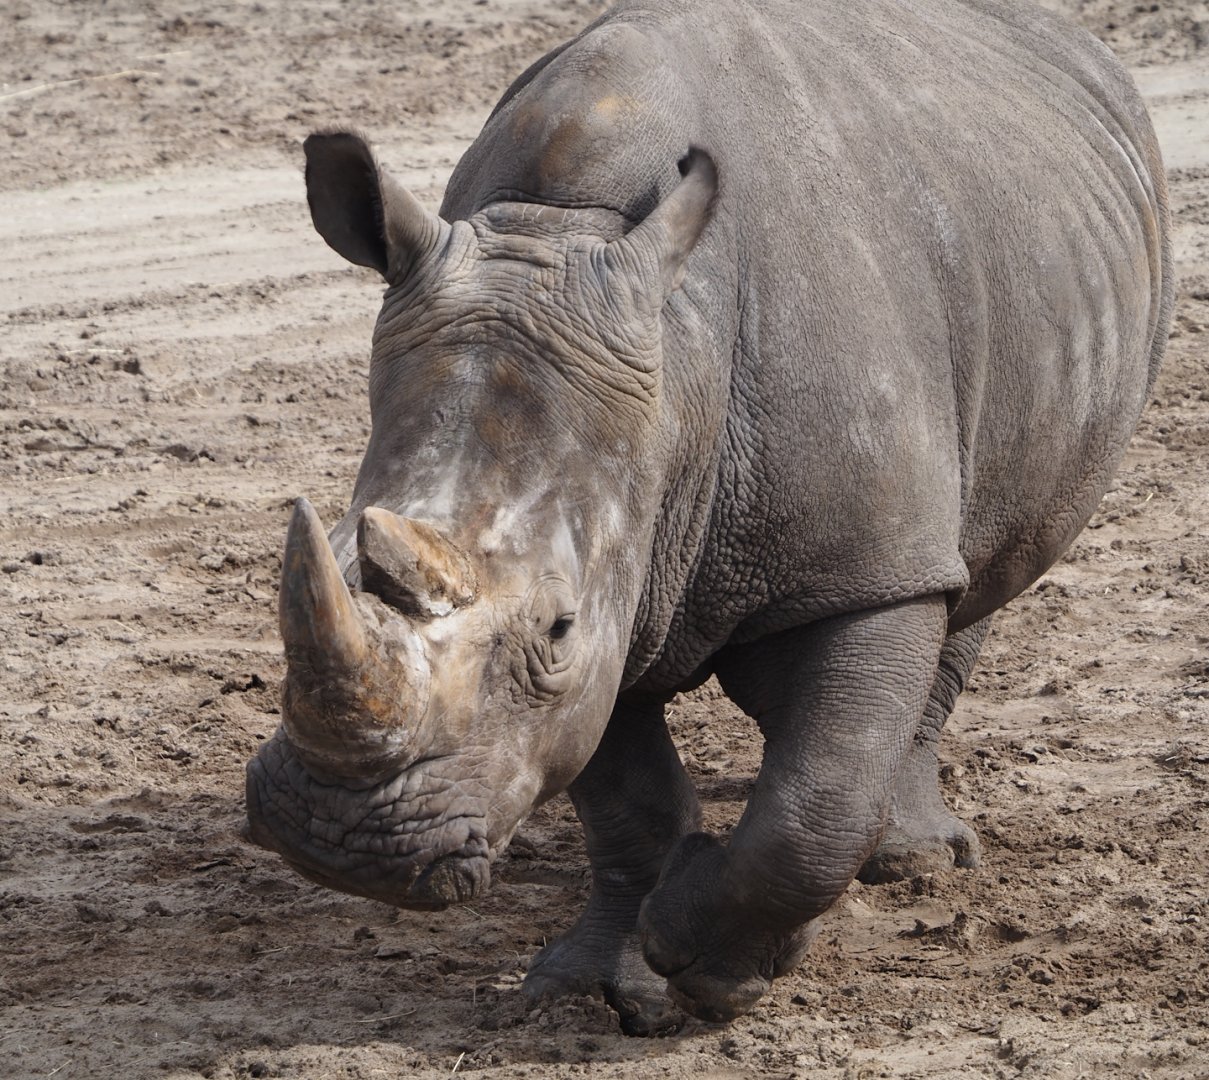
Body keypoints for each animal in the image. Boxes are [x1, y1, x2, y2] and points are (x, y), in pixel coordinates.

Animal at [245, 0, 1172, 1033]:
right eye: (331, 553)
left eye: (556, 627)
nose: (341, 842)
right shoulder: (617, 567)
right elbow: (625, 797)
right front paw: (598, 985)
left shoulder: (865, 567)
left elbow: (819, 797)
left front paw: (714, 966)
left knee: (974, 580)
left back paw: (914, 860)